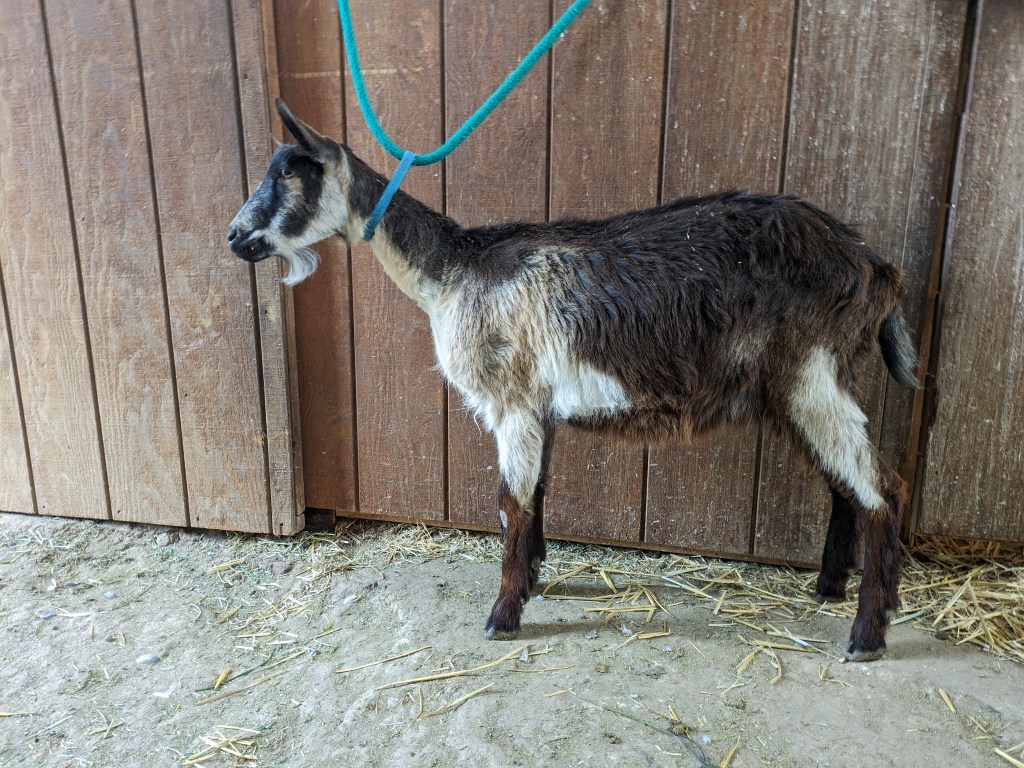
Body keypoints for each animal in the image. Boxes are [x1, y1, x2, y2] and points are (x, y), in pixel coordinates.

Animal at [229, 100, 920, 661]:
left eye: (292, 175)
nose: (235, 236)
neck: (454, 272)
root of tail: (874, 266)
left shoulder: (512, 402)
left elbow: (510, 503)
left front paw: (502, 616)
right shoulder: (540, 406)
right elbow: (536, 497)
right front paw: (534, 582)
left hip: (811, 372)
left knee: (884, 488)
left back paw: (866, 634)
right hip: (799, 386)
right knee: (843, 484)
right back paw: (829, 589)